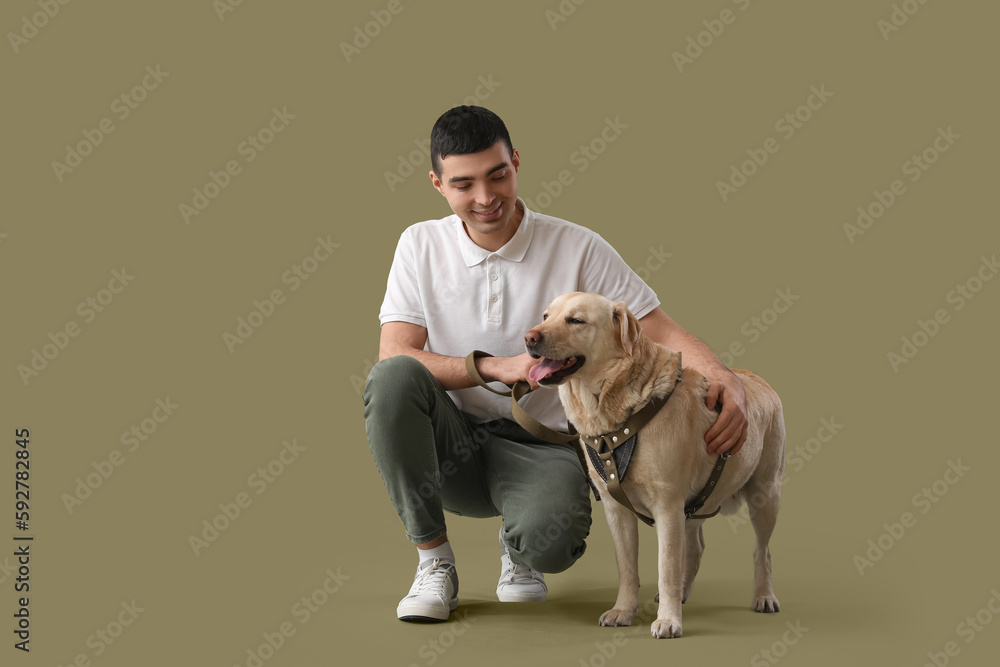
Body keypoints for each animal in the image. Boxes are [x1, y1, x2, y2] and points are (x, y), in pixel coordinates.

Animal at [528, 294, 784, 640]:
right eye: (545, 316)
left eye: (576, 320)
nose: (529, 338)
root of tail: (757, 378)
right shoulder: (616, 508)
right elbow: (627, 566)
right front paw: (623, 611)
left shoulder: (667, 505)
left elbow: (666, 566)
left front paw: (669, 621)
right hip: (697, 503)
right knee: (696, 546)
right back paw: (683, 592)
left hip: (765, 495)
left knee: (762, 550)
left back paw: (764, 596)